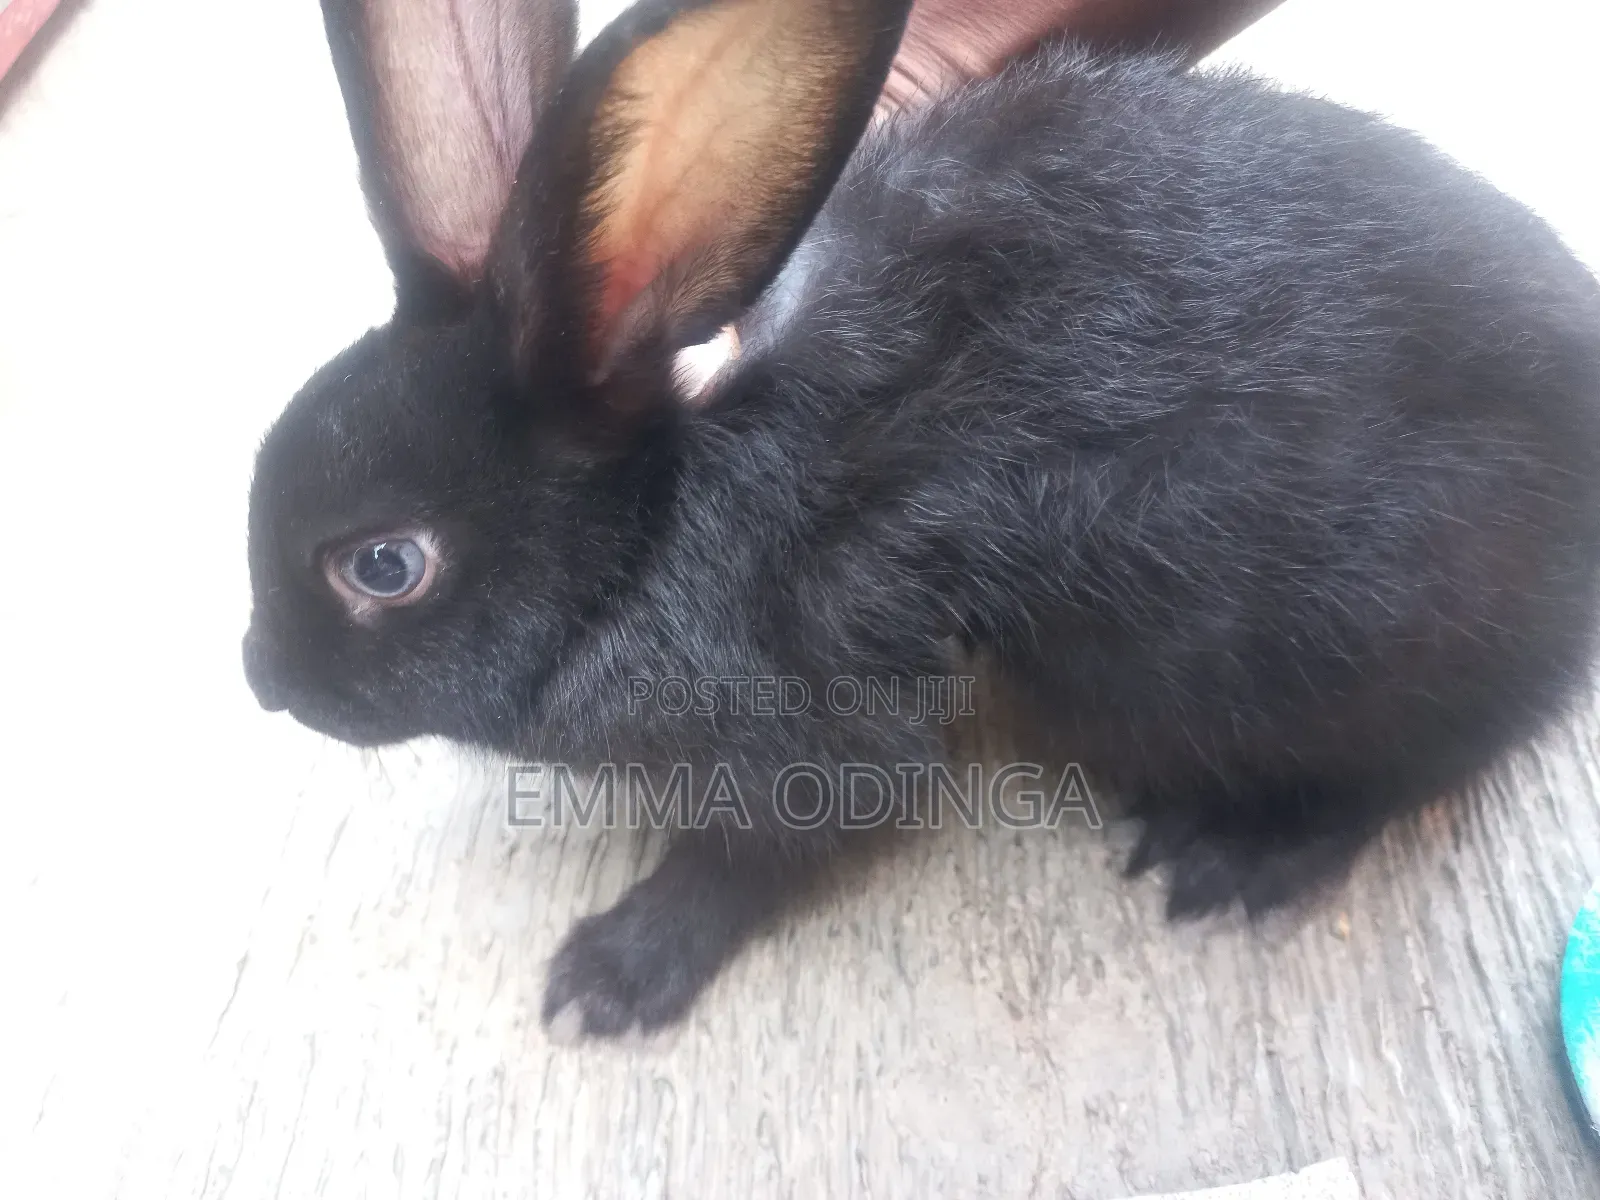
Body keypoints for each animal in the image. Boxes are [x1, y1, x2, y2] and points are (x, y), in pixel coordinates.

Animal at [243, 0, 1600, 1039]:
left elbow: (756, 851)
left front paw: (607, 978)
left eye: (385, 565)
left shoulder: (815, 730)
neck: (646, 534)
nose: (263, 680)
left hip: (1300, 642)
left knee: (1417, 762)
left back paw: (1234, 854)